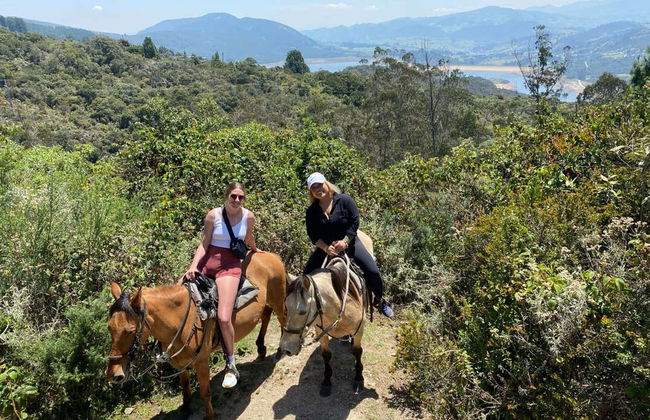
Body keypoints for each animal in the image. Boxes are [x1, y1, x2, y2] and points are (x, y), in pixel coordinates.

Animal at [106, 251, 288, 420]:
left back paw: (281, 350)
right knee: (266, 315)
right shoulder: (179, 363)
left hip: (278, 300)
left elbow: (205, 393)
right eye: (109, 328)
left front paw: (210, 416)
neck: (181, 321)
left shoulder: (201, 363)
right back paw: (261, 348)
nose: (113, 374)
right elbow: (185, 387)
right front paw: (186, 408)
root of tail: (269, 255)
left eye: (130, 330)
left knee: (282, 318)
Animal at [279, 232, 372, 396]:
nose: (286, 349)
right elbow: (326, 355)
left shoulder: (360, 329)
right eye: (286, 307)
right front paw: (327, 381)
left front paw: (358, 379)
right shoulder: (319, 331)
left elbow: (357, 352)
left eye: (302, 311)